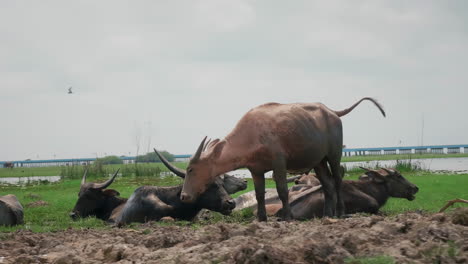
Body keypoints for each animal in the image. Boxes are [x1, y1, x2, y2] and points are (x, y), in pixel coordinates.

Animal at [178, 97, 384, 221]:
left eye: (191, 169)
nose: (184, 196)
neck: (250, 134)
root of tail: (332, 112)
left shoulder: (279, 164)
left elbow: (283, 190)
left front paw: (287, 217)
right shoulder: (256, 170)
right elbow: (259, 194)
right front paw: (261, 218)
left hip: (334, 155)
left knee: (338, 180)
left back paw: (340, 213)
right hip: (318, 161)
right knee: (327, 184)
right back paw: (327, 215)